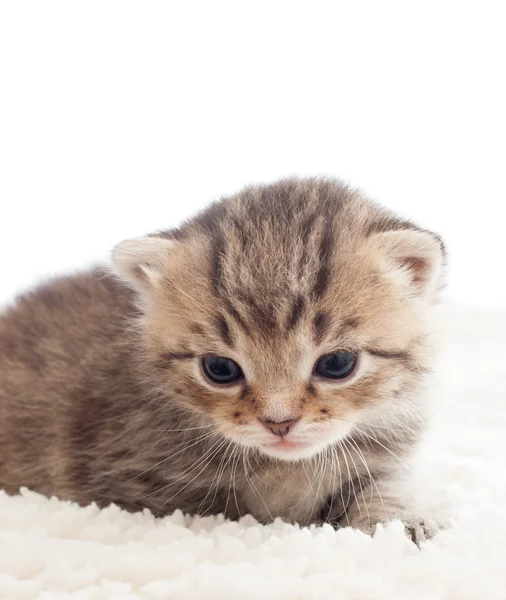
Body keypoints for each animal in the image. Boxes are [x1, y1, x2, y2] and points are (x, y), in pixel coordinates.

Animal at [0, 177, 442, 544]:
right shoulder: (135, 487)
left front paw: (397, 520)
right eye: (220, 370)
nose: (279, 423)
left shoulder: (380, 456)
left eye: (337, 364)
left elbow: (380, 487)